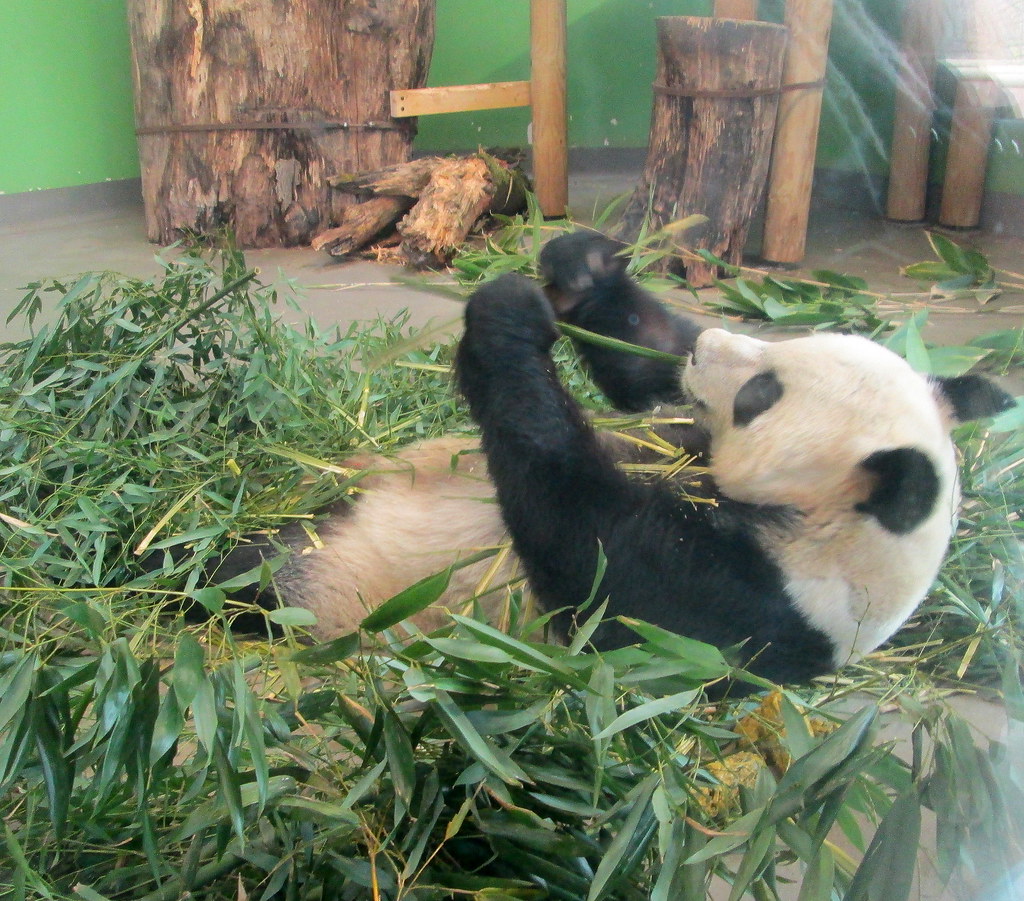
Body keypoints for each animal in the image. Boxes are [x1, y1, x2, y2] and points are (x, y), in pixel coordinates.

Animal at [202, 231, 1014, 688]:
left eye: (762, 394)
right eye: (783, 352)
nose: (706, 345)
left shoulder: (741, 609)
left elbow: (585, 553)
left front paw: (507, 317)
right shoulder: (679, 430)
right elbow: (644, 374)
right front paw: (582, 264)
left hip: (345, 590)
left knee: (249, 587)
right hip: (327, 536)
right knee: (243, 558)